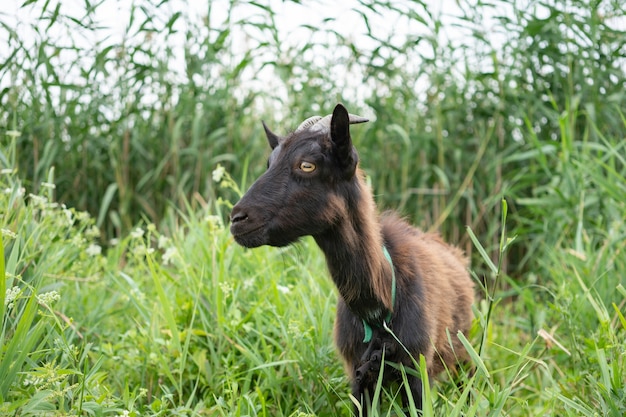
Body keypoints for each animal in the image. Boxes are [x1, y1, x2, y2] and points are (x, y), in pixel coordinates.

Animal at [229, 102, 472, 412]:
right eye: (269, 163)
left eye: (307, 165)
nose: (237, 219)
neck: (381, 305)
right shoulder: (357, 374)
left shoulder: (418, 370)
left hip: (464, 355)